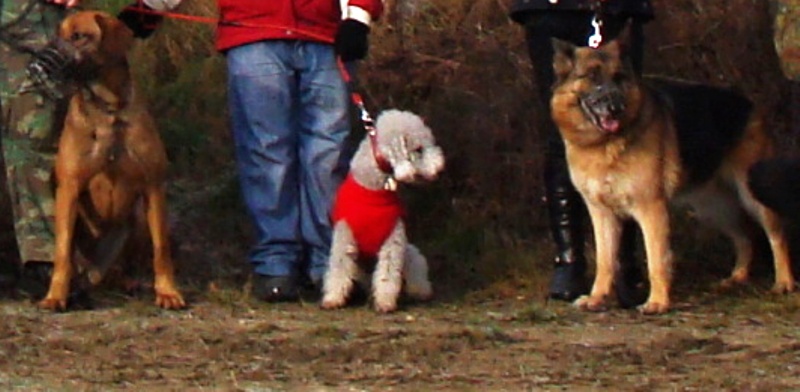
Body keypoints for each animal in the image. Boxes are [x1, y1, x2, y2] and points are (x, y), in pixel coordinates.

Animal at [39, 10, 187, 310]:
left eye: (78, 36)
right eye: (57, 34)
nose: (45, 64)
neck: (108, 109)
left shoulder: (154, 187)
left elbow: (161, 249)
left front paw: (168, 291)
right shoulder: (69, 188)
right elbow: (62, 251)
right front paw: (55, 296)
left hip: (139, 218)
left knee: (128, 262)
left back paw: (127, 280)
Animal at [320, 109, 444, 312]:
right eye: (419, 149)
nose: (440, 170)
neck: (372, 192)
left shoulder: (393, 239)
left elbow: (388, 272)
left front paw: (385, 302)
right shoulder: (344, 237)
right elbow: (339, 268)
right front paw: (333, 299)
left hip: (409, 253)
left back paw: (421, 291)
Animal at [552, 33, 792, 316]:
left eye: (619, 77)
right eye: (591, 76)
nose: (614, 107)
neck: (603, 144)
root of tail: (750, 104)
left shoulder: (650, 209)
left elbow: (656, 259)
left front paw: (657, 302)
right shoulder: (602, 214)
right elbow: (605, 260)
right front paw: (597, 297)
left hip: (753, 197)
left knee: (777, 236)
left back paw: (784, 282)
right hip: (713, 209)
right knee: (745, 237)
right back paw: (738, 277)